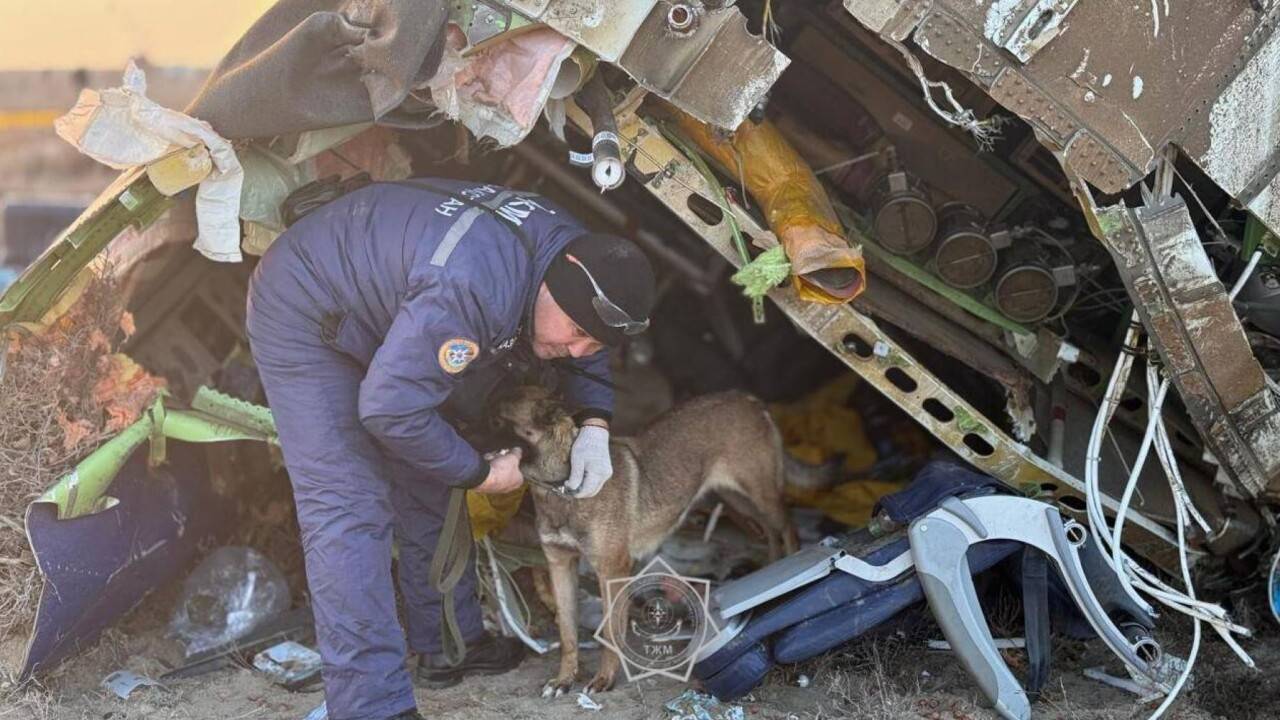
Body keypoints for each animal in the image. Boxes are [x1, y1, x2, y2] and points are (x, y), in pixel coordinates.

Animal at [491, 386, 798, 696]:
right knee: (768, 531)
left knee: (787, 525)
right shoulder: (560, 565)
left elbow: (611, 631)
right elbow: (567, 633)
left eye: (496, 420)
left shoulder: (612, 570)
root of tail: (747, 398)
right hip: (736, 499)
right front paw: (564, 680)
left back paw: (794, 566)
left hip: (760, 495)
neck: (561, 488)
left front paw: (605, 679)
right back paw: (773, 567)